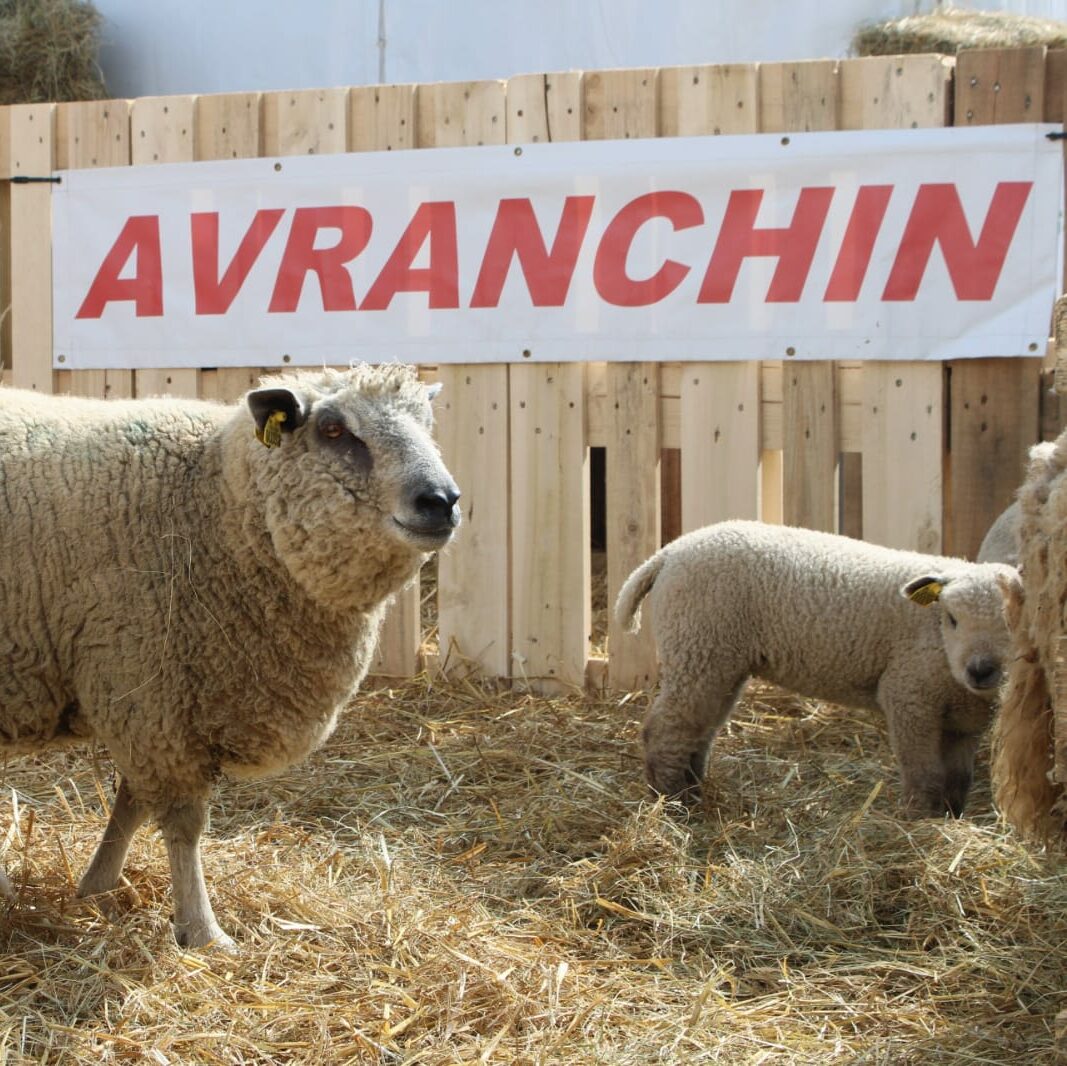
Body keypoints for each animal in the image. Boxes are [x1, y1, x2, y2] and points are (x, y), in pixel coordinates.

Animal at [0, 364, 458, 951]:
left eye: (428, 422)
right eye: (333, 429)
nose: (441, 500)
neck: (214, 502)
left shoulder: (155, 699)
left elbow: (131, 804)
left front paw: (99, 886)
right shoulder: (147, 684)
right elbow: (181, 822)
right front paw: (202, 930)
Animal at [623, 522, 1020, 815]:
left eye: (1013, 621)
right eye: (952, 619)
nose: (980, 669)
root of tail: (668, 553)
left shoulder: (964, 721)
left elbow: (958, 779)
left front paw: (950, 819)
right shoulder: (909, 696)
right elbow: (925, 775)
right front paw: (919, 821)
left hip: (718, 661)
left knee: (698, 730)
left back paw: (693, 791)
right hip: (697, 645)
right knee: (665, 729)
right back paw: (673, 802)